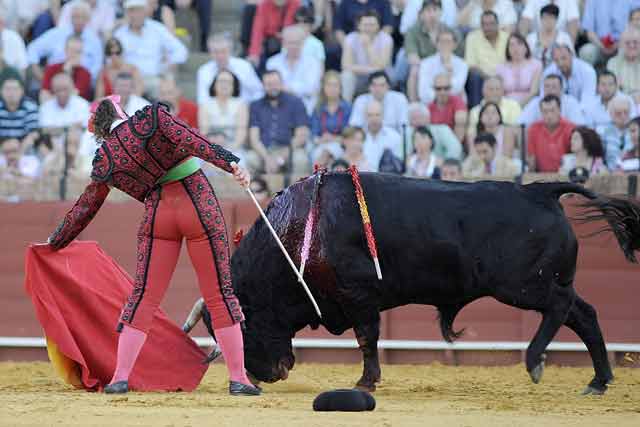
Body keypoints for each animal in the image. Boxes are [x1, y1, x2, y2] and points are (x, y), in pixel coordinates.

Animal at [190, 173, 640, 394]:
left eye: (245, 323)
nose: (267, 376)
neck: (301, 234)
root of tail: (542, 191)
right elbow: (367, 339)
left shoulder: (359, 296)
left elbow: (367, 338)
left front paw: (365, 381)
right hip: (539, 284)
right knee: (585, 314)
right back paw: (598, 381)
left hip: (524, 286)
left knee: (562, 308)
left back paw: (534, 362)